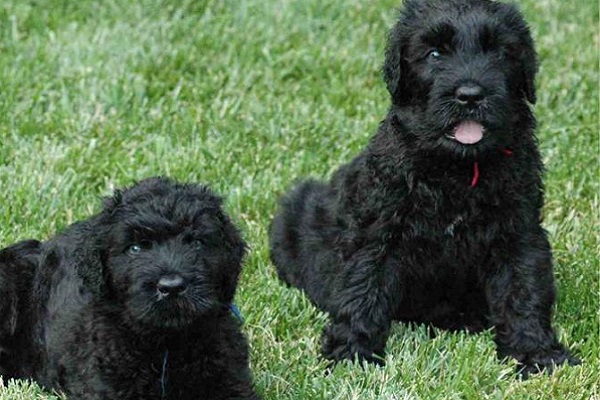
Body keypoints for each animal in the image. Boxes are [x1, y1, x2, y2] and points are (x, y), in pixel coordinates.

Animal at [270, 0, 580, 378]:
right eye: (434, 53)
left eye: (499, 52)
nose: (470, 96)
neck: (457, 169)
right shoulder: (377, 233)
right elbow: (362, 287)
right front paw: (350, 354)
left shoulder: (519, 232)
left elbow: (523, 290)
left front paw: (536, 353)